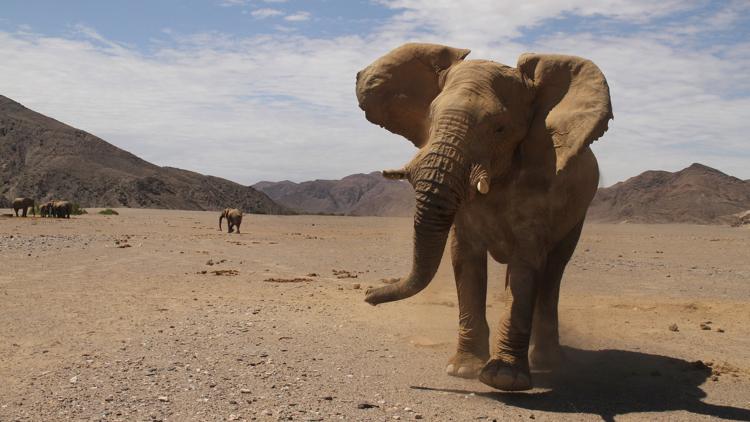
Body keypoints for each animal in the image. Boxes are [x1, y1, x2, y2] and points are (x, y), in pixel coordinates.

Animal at [356, 44, 612, 390]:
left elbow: (526, 263)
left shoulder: (542, 184)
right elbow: (465, 257)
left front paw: (504, 379)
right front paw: (463, 370)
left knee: (553, 270)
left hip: (578, 211)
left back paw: (547, 362)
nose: (368, 294)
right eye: (431, 116)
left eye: (499, 128)